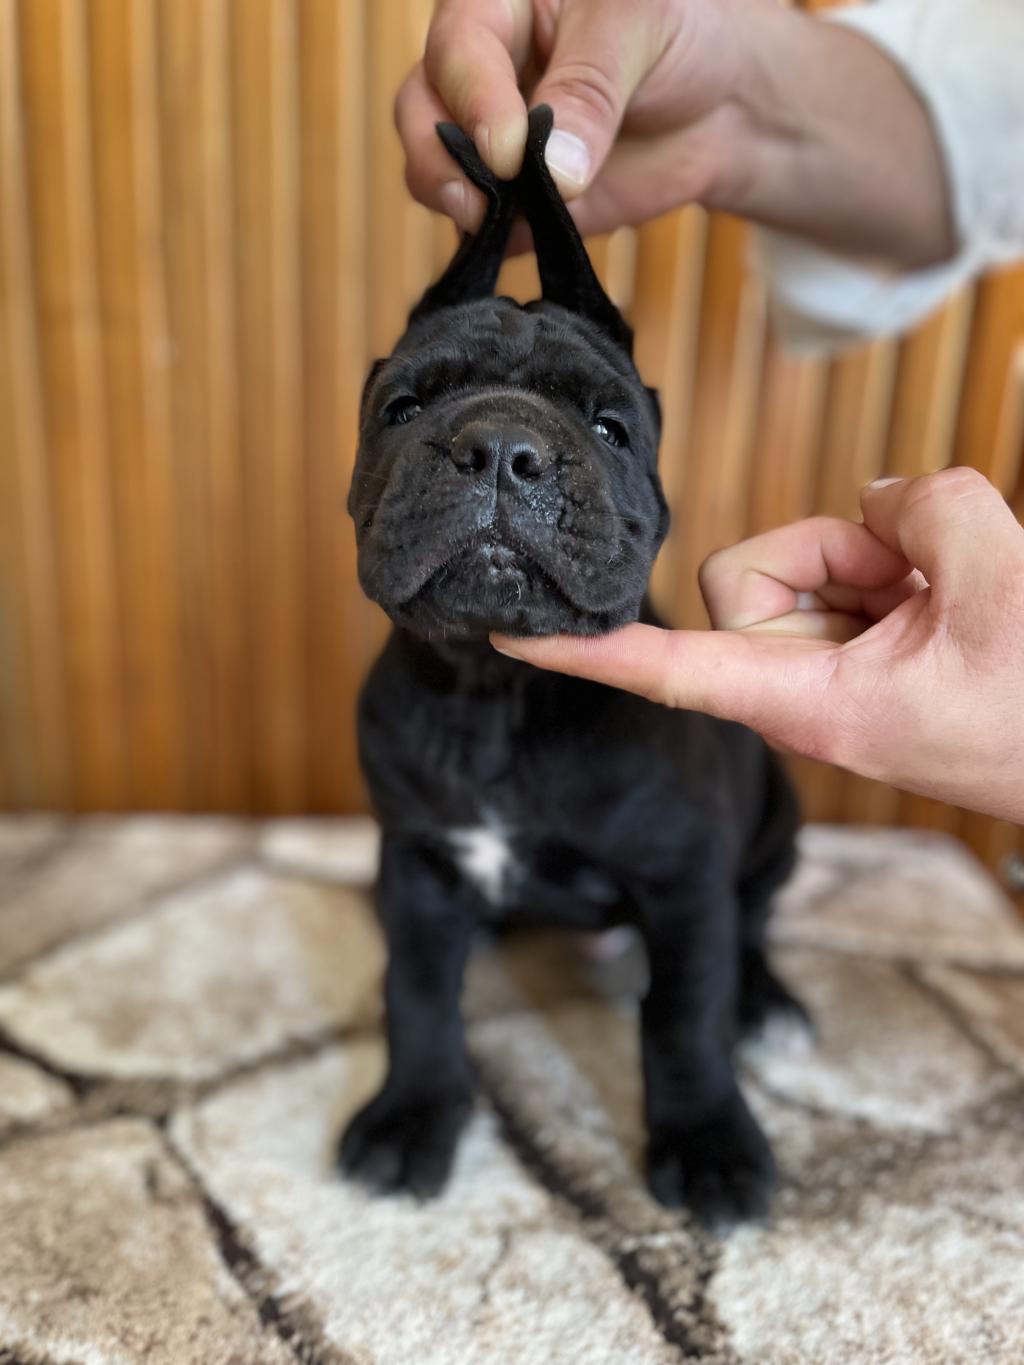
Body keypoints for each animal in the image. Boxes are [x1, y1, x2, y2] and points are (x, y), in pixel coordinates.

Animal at [341, 106, 806, 1224]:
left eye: (609, 428)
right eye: (402, 408)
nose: (502, 448)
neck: (497, 691)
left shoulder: (684, 877)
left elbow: (684, 1014)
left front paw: (708, 1141)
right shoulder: (415, 861)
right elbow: (416, 992)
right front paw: (412, 1113)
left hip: (778, 824)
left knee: (753, 925)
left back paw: (769, 1000)